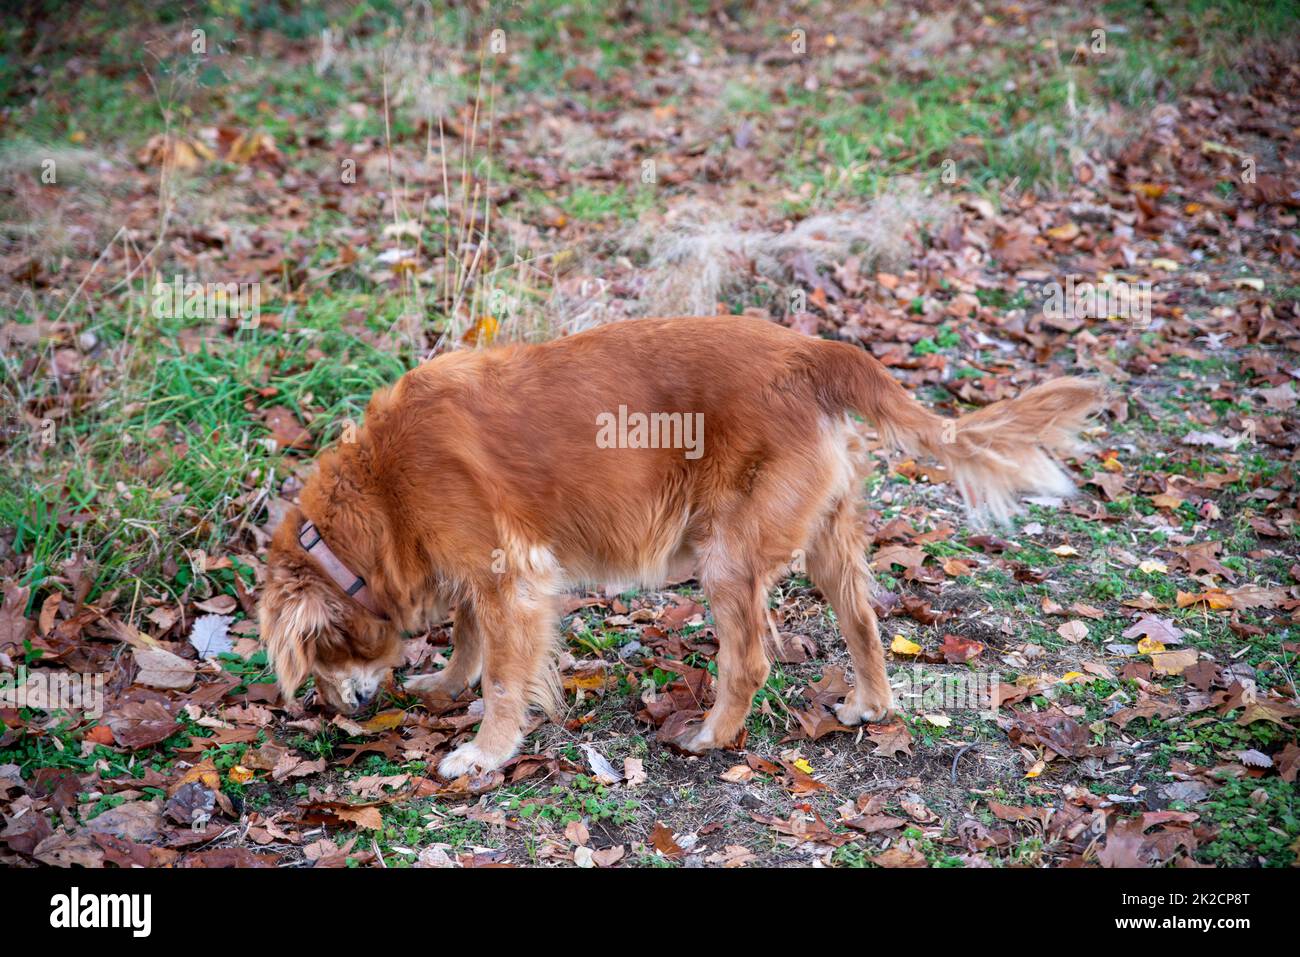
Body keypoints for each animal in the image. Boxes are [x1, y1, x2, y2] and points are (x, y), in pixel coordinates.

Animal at [258, 314, 1102, 780]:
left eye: (320, 657)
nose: (343, 715)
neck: (383, 486)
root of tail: (812, 350)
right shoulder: (483, 571)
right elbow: (471, 640)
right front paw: (445, 683)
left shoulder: (510, 574)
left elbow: (503, 678)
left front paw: (484, 752)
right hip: (828, 540)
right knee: (864, 624)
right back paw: (868, 702)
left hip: (728, 557)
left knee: (751, 657)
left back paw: (710, 735)